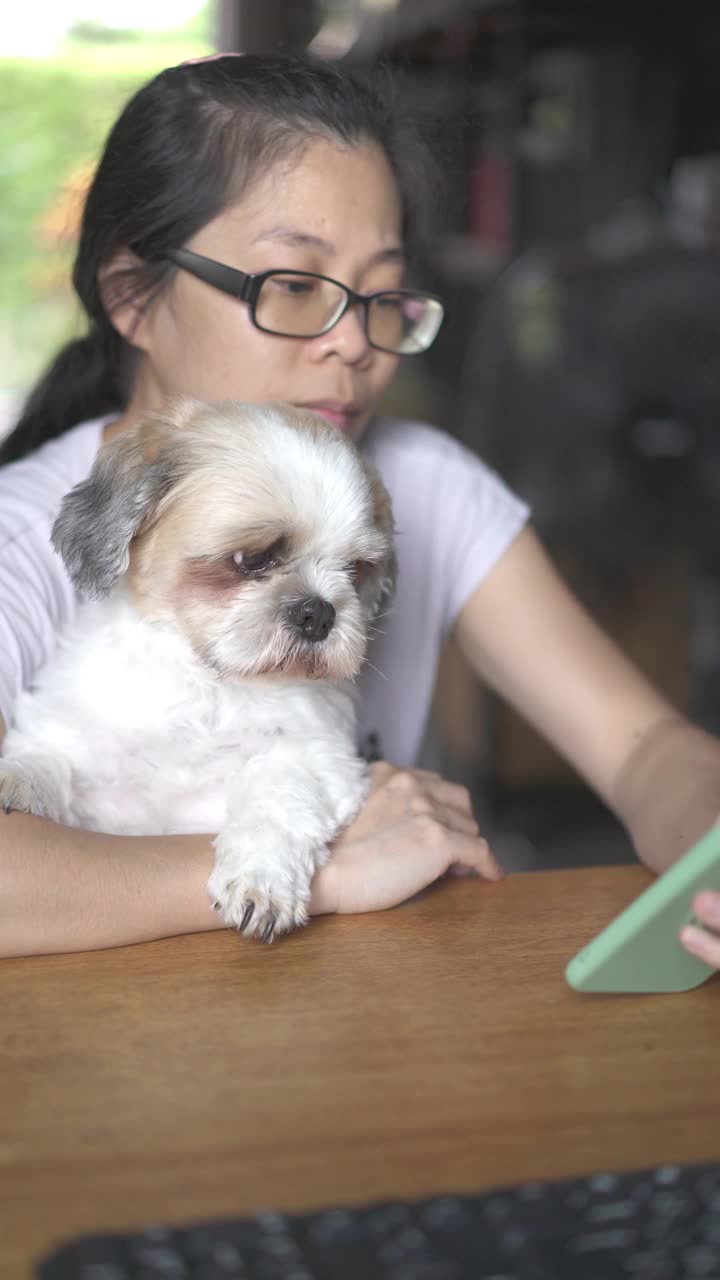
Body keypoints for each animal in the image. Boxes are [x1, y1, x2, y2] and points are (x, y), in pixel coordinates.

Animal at [0, 399, 392, 942]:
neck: (209, 684)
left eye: (355, 570)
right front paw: (21, 776)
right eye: (252, 558)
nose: (318, 612)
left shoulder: (319, 760)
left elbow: (277, 795)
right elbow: (50, 752)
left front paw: (261, 880)